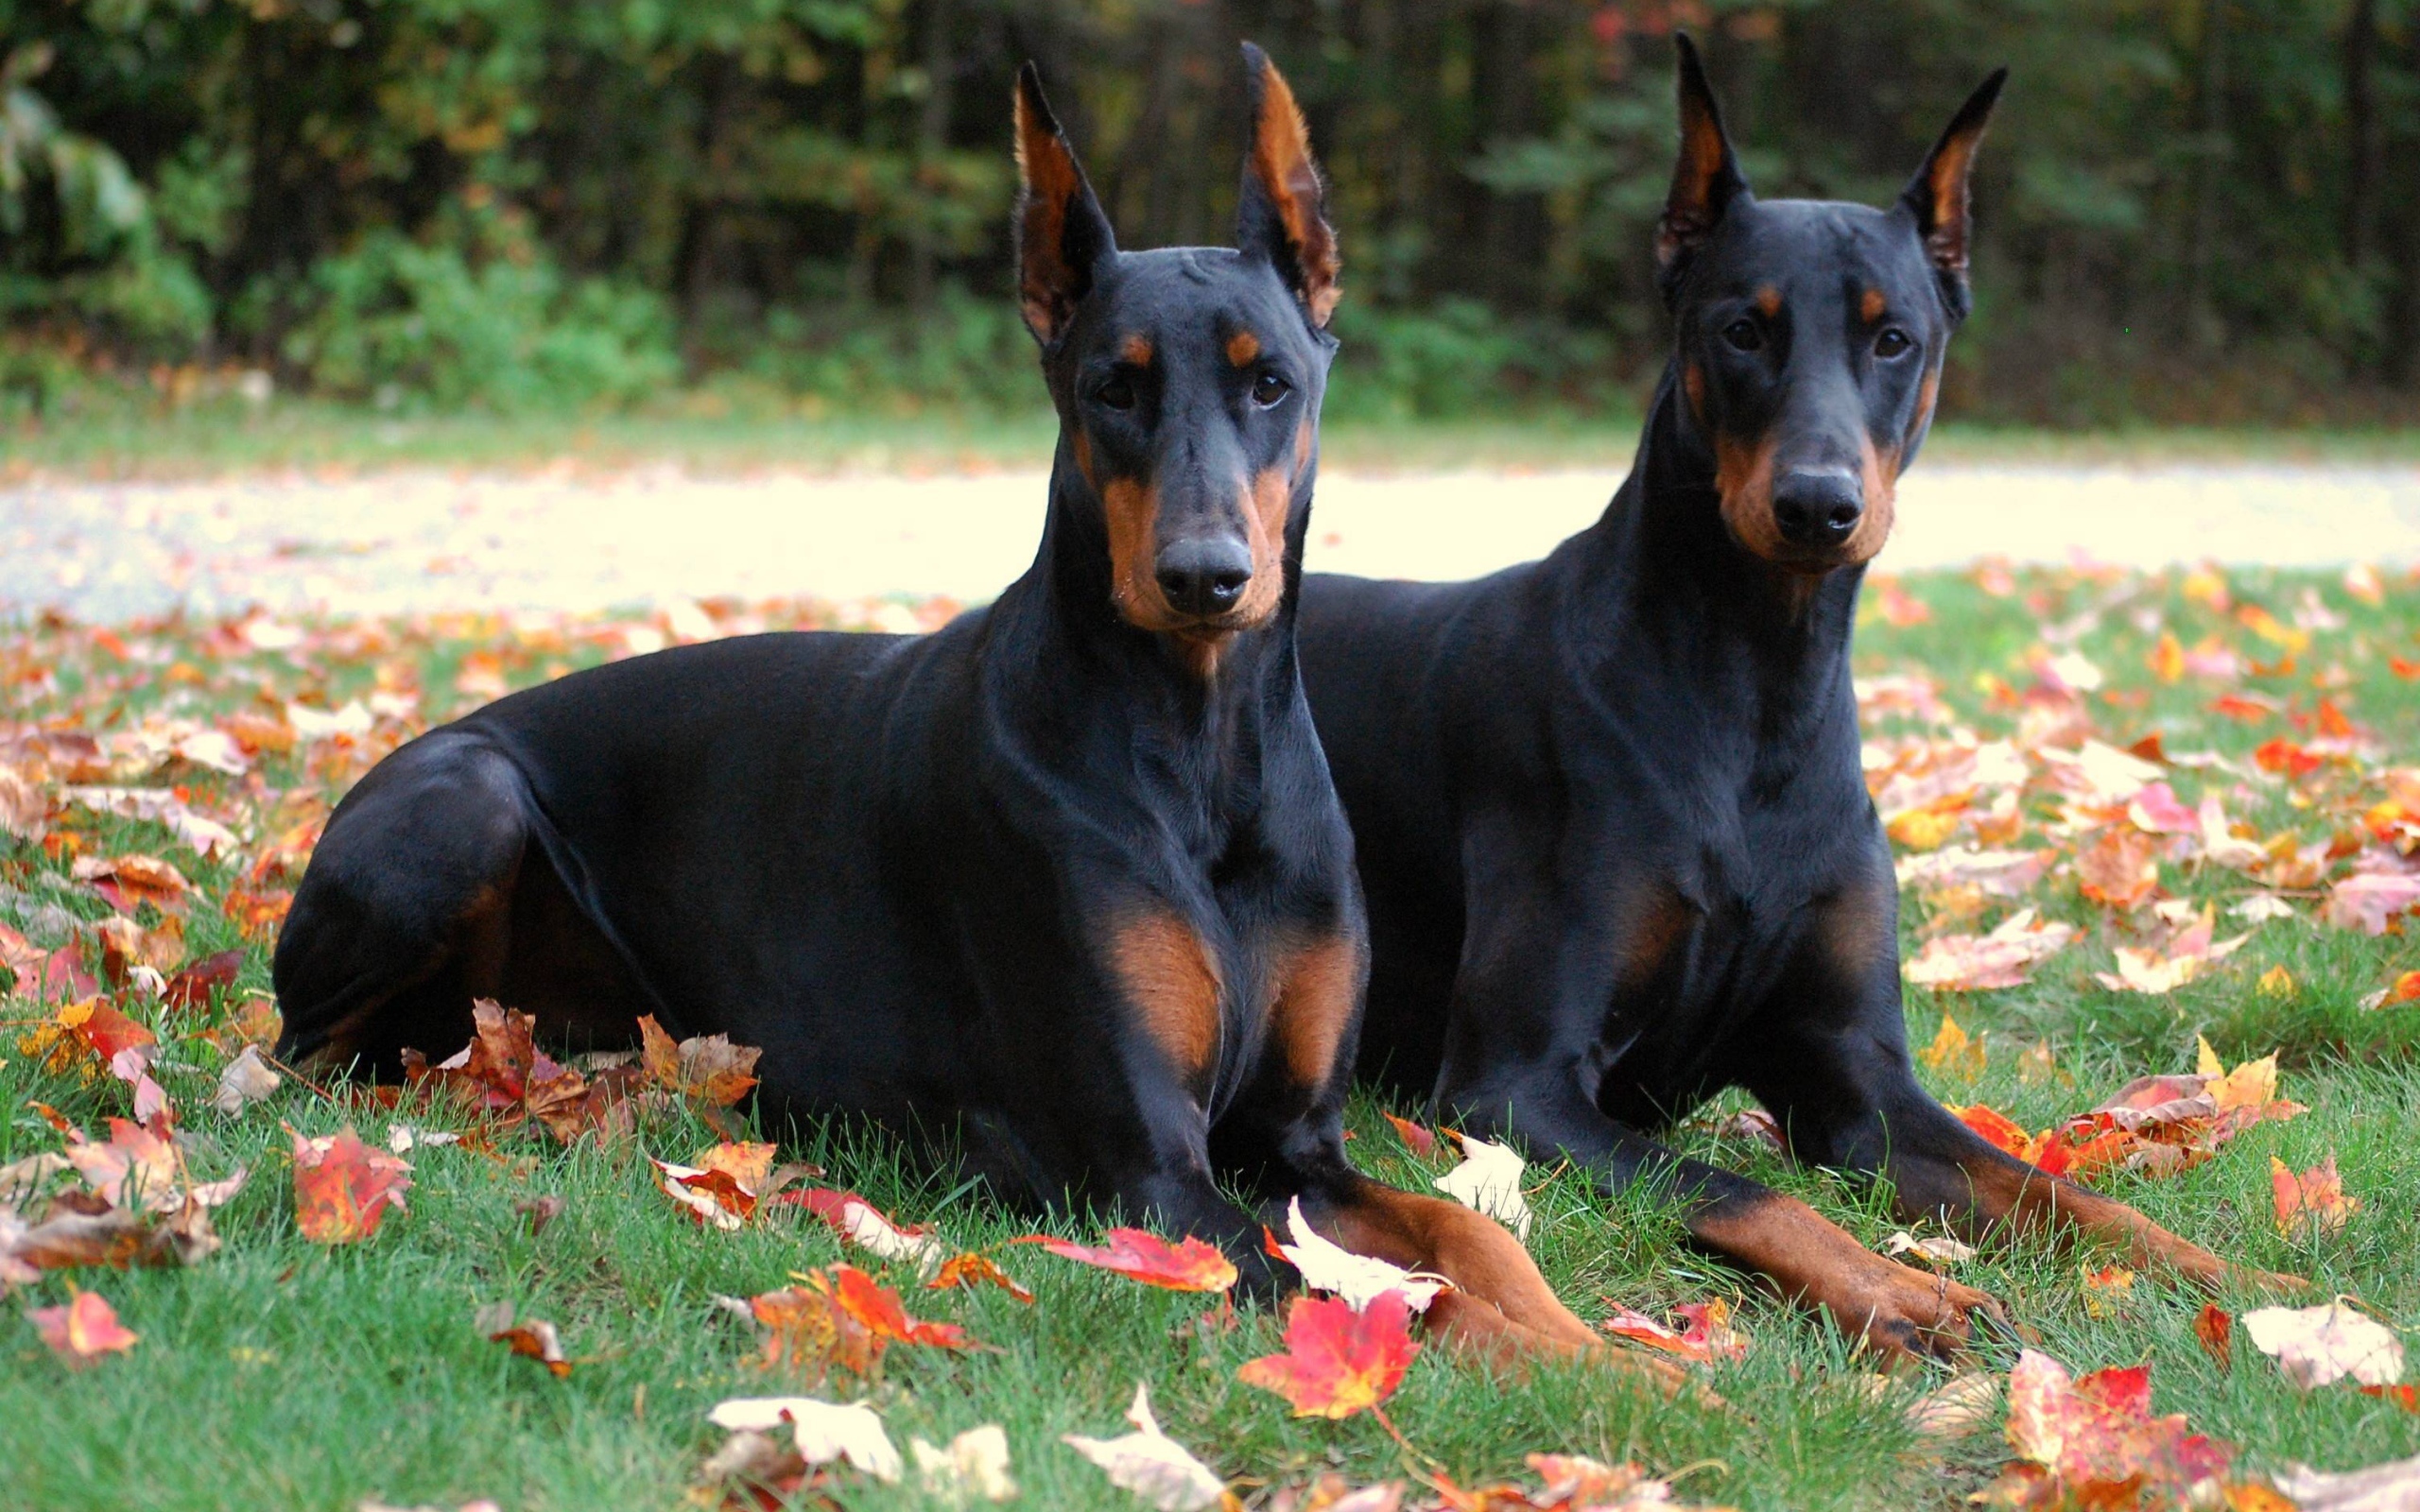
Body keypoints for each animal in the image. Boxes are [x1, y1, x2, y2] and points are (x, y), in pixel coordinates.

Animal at [274, 46, 1655, 1364]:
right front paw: (1604, 1376)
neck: (1202, 745)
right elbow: (1403, 1307)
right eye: (1113, 386)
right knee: (311, 1052)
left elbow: (1468, 1243)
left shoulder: (1297, 1139)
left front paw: (1627, 1355)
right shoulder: (1146, 1171)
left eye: (1271, 384)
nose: (1203, 577)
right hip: (468, 803)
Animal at [1297, 35, 2293, 1364]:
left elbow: (2059, 1191)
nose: (1818, 503)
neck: (1758, 686)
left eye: (1894, 338)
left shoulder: (1855, 1077)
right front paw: (1903, 1289)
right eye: (1740, 329)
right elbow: (1740, 1185)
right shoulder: (1517, 1081)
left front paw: (2235, 1279)